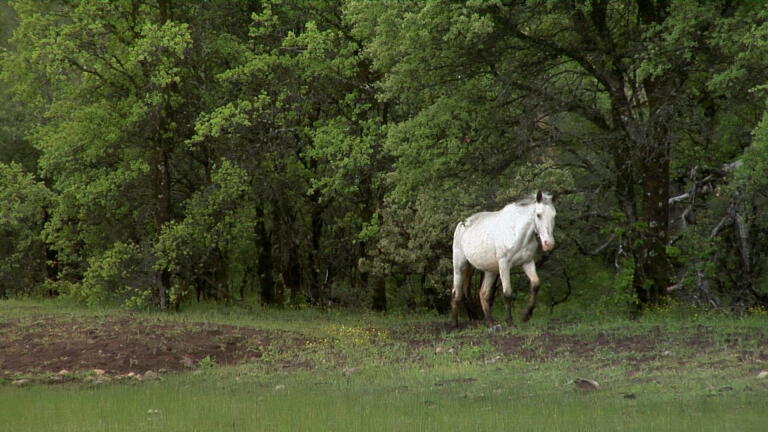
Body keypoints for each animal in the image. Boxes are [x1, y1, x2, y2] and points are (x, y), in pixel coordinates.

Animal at [450, 191, 556, 329]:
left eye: (554, 216)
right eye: (538, 215)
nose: (549, 244)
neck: (517, 232)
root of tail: (461, 224)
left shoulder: (527, 262)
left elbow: (536, 284)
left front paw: (526, 315)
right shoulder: (504, 264)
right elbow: (507, 293)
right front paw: (510, 322)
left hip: (490, 271)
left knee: (483, 294)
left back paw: (490, 324)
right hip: (460, 267)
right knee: (456, 294)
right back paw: (454, 325)